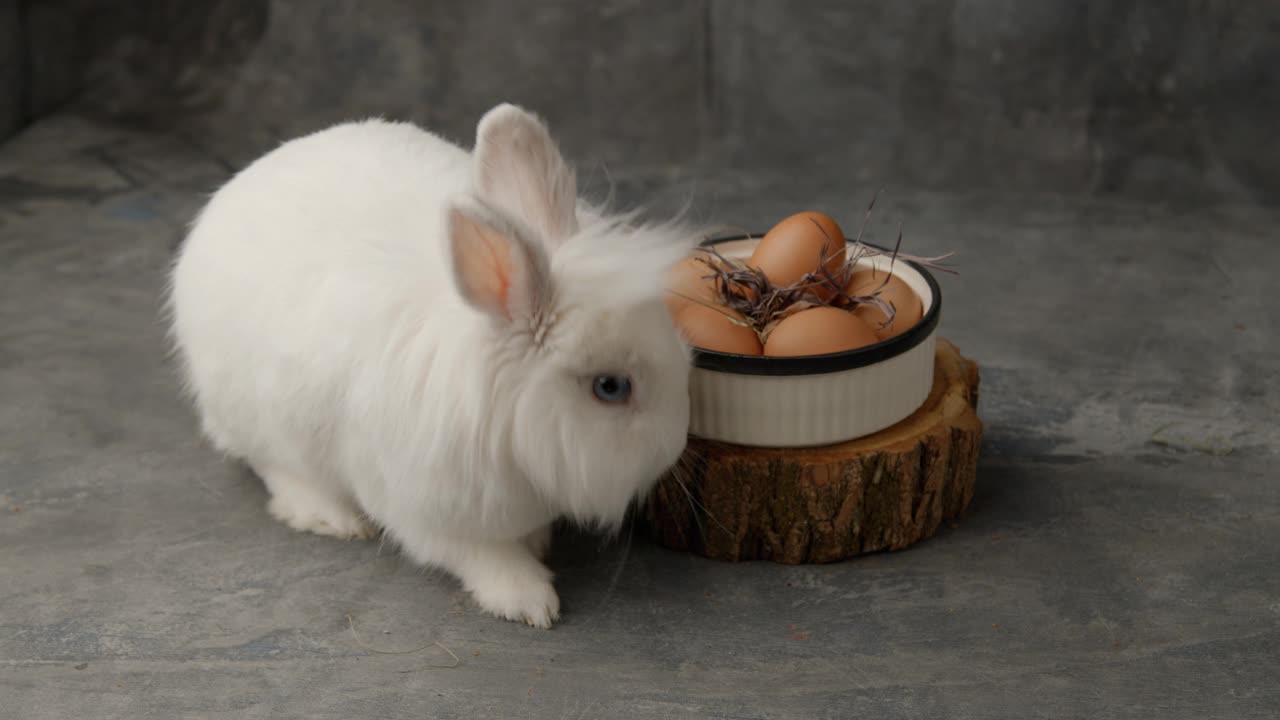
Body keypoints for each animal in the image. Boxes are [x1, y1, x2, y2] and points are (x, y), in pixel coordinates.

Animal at [170, 103, 701, 625]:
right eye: (610, 387)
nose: (675, 447)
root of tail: (240, 184)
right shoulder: (424, 513)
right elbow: (482, 557)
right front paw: (529, 600)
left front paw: (536, 543)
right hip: (258, 420)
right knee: (276, 467)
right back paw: (331, 517)